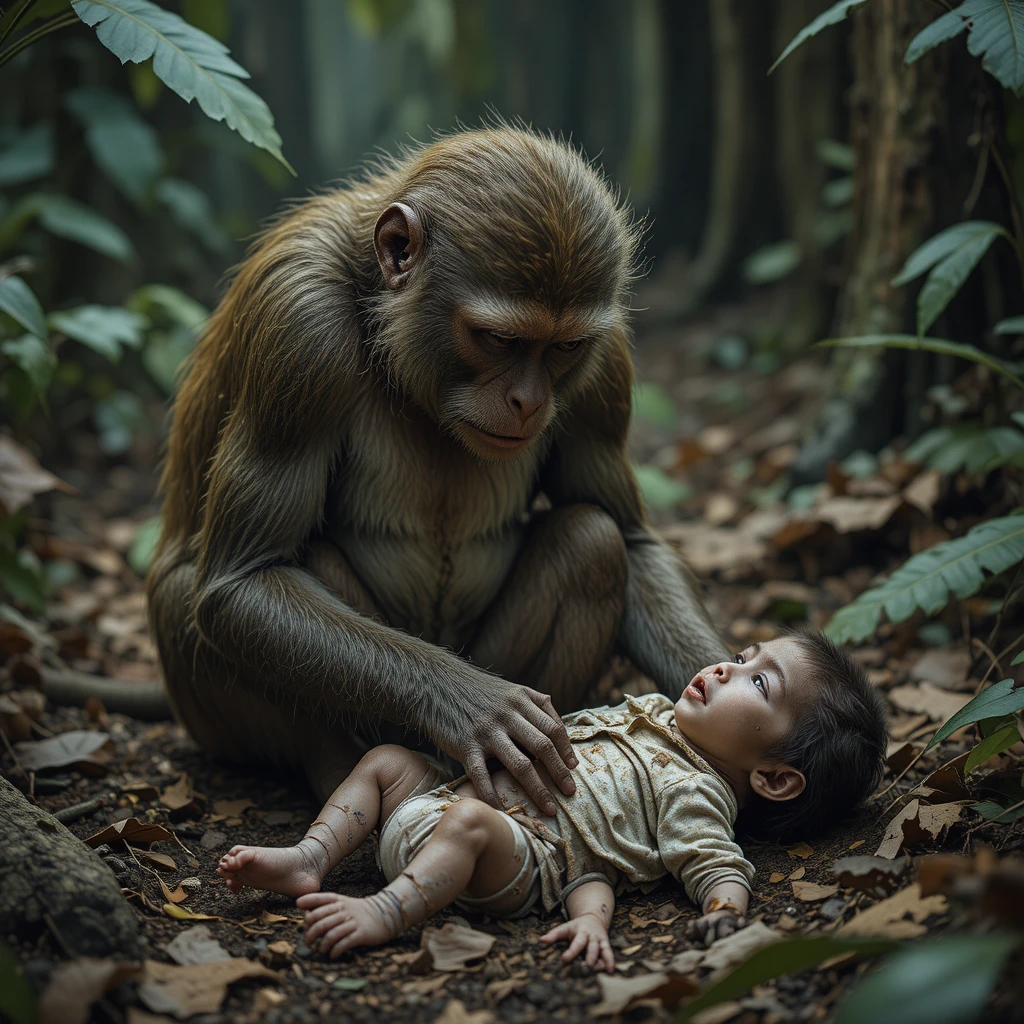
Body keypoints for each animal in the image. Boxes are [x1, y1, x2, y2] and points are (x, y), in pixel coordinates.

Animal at [144, 125, 727, 813]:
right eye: (500, 339)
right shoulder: (297, 329)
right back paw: (347, 769)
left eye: (563, 347)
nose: (527, 400)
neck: (377, 307)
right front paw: (474, 704)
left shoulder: (604, 357)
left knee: (592, 542)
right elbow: (242, 581)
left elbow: (632, 540)